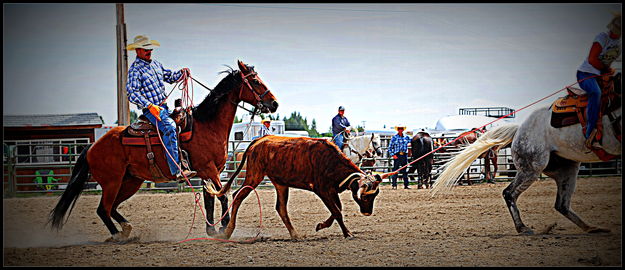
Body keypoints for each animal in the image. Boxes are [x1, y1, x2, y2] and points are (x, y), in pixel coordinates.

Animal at [50, 61, 280, 243]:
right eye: (255, 81)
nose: (274, 103)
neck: (207, 125)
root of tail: (92, 146)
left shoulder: (208, 172)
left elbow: (209, 199)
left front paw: (212, 229)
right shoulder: (209, 169)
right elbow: (223, 195)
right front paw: (224, 228)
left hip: (130, 181)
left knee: (111, 207)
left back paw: (126, 230)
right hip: (111, 182)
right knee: (103, 209)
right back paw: (118, 235)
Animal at [434, 75, 620, 235]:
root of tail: (519, 130)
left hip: (565, 168)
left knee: (561, 205)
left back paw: (592, 228)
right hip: (531, 168)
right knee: (510, 193)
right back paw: (523, 227)